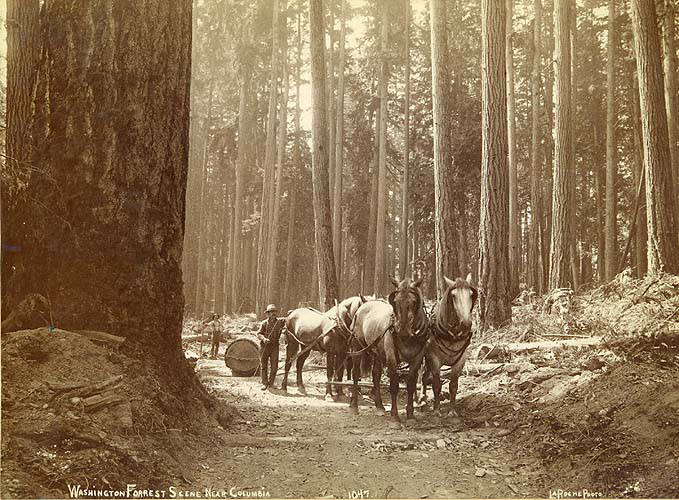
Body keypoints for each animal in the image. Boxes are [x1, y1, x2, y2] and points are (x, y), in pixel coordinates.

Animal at [350, 278, 430, 422]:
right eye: (396, 301)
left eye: (414, 301)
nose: (402, 330)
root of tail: (363, 307)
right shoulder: (391, 357)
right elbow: (394, 386)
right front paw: (395, 416)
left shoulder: (417, 358)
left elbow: (411, 385)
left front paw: (410, 414)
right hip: (357, 346)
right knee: (355, 373)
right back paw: (354, 406)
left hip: (377, 352)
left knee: (376, 375)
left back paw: (380, 407)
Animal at [424, 272, 478, 416]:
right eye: (453, 295)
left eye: (471, 294)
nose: (466, 323)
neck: (452, 334)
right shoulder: (434, 359)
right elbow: (436, 384)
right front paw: (436, 410)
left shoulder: (461, 360)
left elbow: (453, 385)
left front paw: (452, 411)